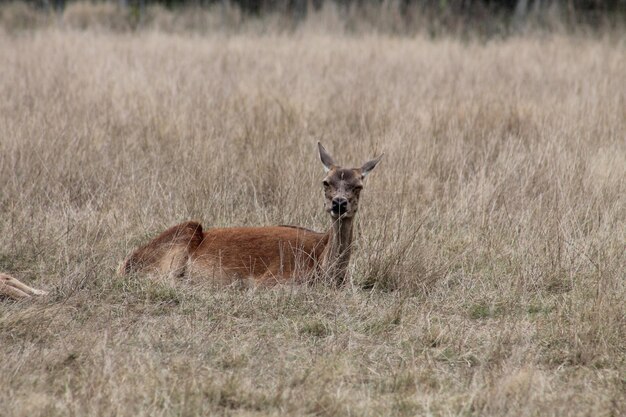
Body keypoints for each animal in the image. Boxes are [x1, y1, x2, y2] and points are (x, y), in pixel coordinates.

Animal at [117, 143, 380, 286]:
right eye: (326, 182)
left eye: (359, 185)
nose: (339, 203)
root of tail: (125, 263)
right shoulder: (273, 279)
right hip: (183, 235)